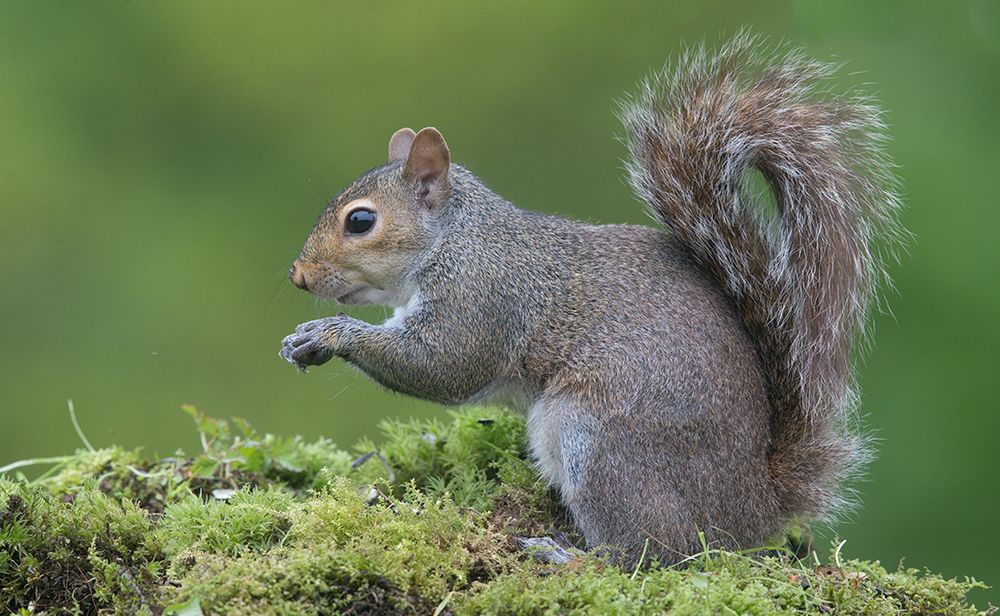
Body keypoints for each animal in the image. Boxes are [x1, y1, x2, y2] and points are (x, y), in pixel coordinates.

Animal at [279, 33, 902, 564]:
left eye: (361, 221)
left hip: (600, 444)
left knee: (650, 555)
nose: (298, 276)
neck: (456, 238)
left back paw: (568, 555)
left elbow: (441, 364)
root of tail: (754, 510)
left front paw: (331, 334)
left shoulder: (482, 298)